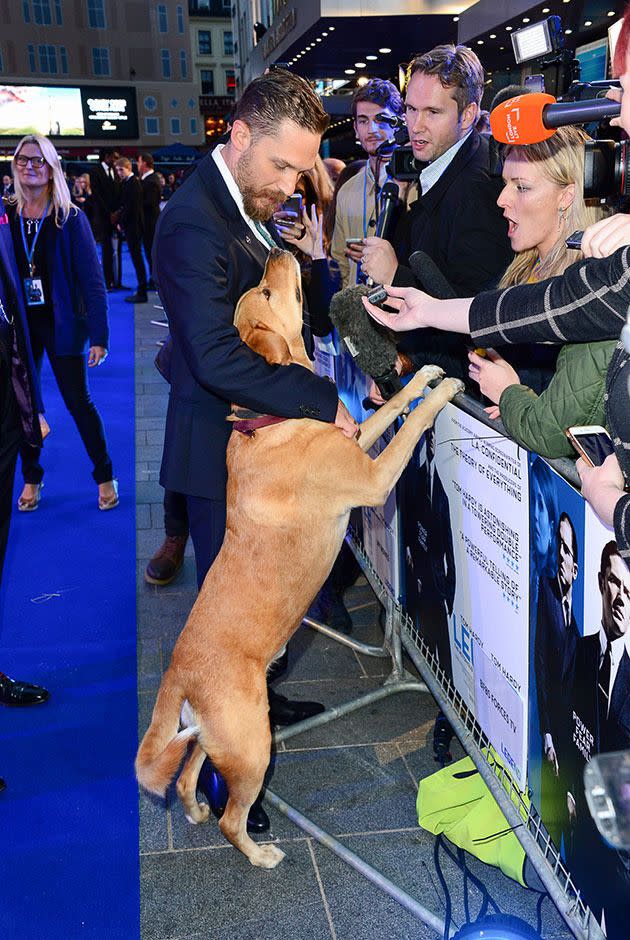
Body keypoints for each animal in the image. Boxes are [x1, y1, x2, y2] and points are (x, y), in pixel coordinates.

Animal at [138, 248, 464, 868]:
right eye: (266, 293)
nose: (277, 249)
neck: (267, 419)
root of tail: (178, 674)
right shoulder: (374, 477)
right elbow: (411, 423)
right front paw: (441, 389)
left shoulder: (356, 435)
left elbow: (392, 407)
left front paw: (422, 376)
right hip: (253, 746)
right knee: (232, 816)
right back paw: (259, 853)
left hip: (219, 738)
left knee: (190, 772)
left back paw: (193, 810)